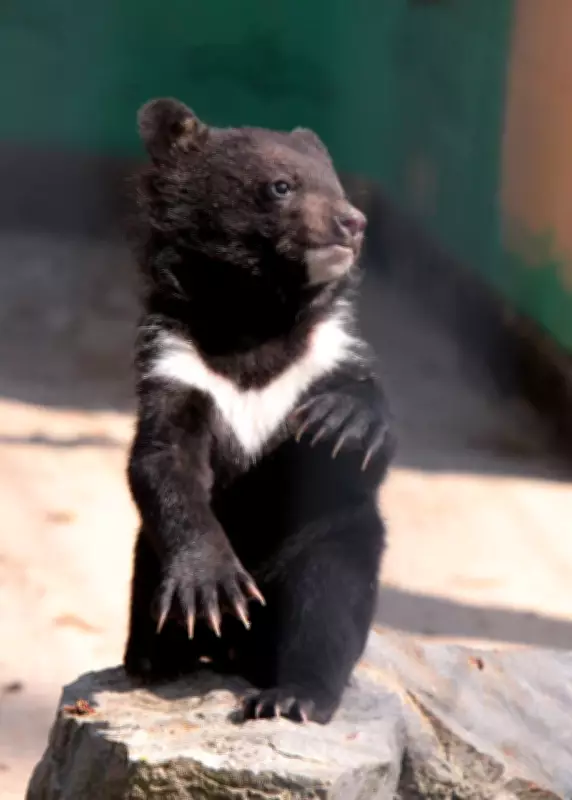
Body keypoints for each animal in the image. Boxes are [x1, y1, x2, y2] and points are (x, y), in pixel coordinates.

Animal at [123, 97, 395, 724]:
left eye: (336, 184)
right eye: (280, 186)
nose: (353, 222)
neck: (254, 319)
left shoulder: (329, 352)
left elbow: (364, 441)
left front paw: (342, 420)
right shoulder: (176, 363)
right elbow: (164, 463)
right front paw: (213, 589)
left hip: (337, 544)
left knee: (326, 606)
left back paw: (290, 696)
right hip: (146, 556)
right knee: (148, 587)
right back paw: (155, 659)